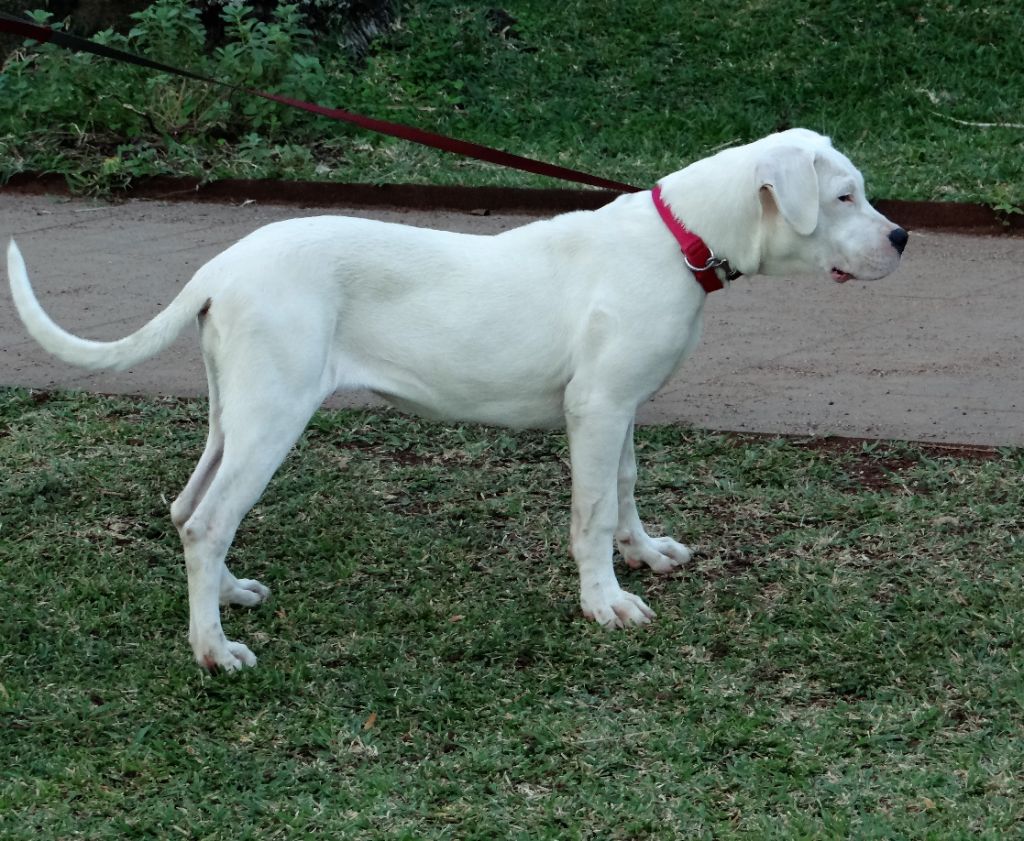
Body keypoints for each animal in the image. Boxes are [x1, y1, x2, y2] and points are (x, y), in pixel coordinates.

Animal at [6, 129, 905, 667]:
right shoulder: (596, 409)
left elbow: (625, 487)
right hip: (272, 414)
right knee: (207, 519)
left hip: (234, 410)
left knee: (190, 507)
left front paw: (645, 553)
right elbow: (591, 515)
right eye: (844, 196)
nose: (901, 237)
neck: (679, 235)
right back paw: (212, 648)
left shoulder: (621, 408)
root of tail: (222, 267)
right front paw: (604, 601)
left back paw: (226, 597)